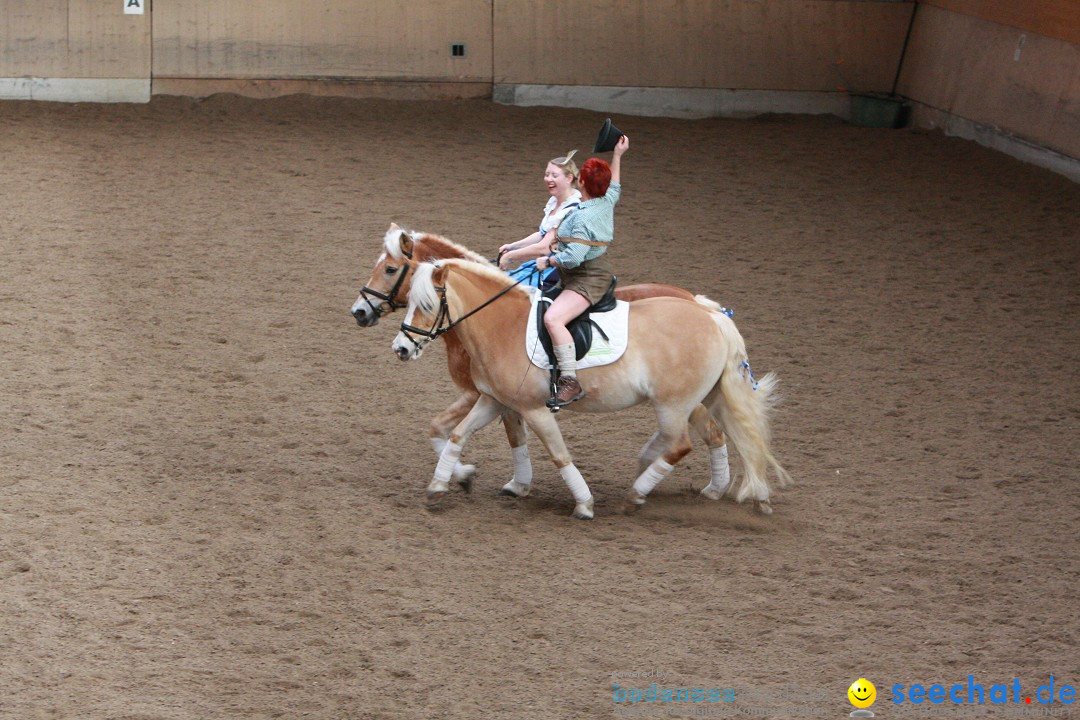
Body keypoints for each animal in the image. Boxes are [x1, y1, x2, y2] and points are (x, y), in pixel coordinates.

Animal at [352, 225, 734, 500]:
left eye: (390, 269)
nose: (359, 312)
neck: (488, 319)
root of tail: (700, 305)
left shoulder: (484, 394)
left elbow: (454, 430)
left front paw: (471, 475)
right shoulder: (495, 397)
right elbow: (459, 431)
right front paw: (489, 479)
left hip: (678, 398)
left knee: (703, 435)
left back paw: (687, 486)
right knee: (703, 433)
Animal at [393, 259, 790, 518]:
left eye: (427, 303)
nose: (401, 349)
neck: (502, 324)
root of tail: (710, 314)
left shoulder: (534, 409)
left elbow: (560, 455)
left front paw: (584, 504)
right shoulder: (493, 400)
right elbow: (457, 435)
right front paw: (440, 486)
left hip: (674, 403)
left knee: (680, 444)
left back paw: (636, 494)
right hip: (703, 397)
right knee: (711, 436)